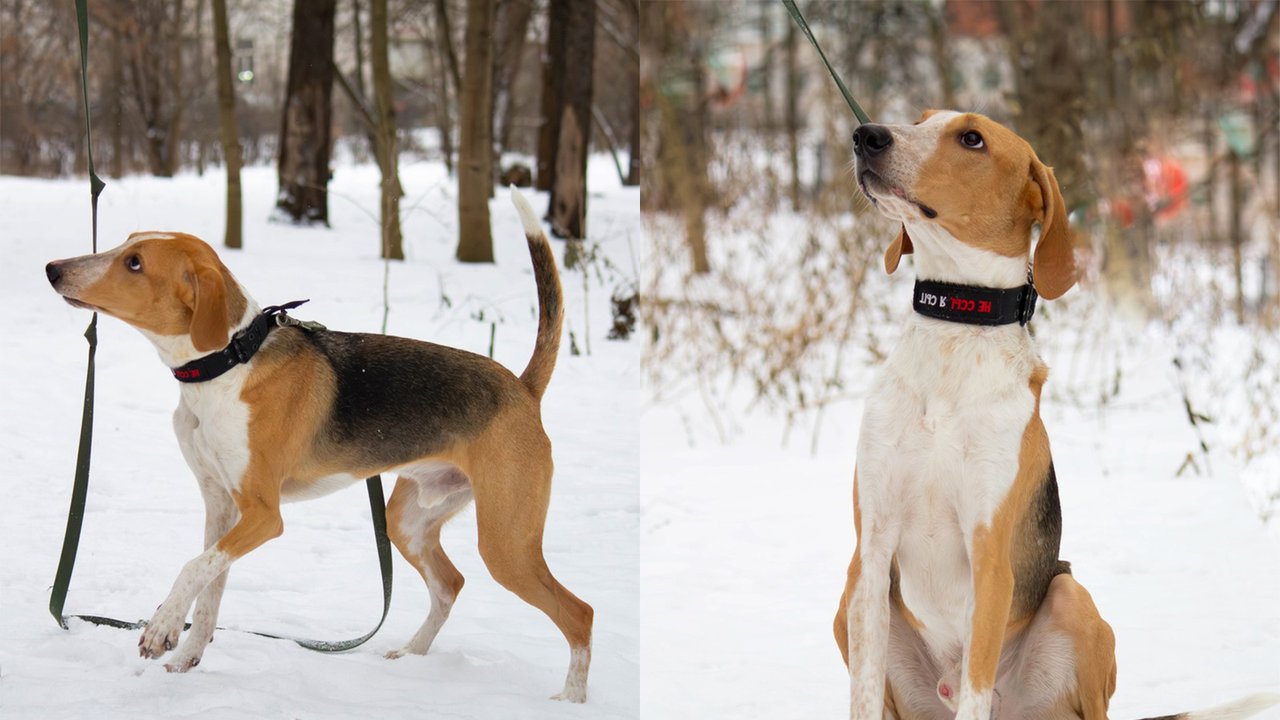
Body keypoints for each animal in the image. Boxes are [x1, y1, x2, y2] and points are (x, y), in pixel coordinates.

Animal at [45, 185, 593, 702]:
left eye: (134, 263)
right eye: (123, 244)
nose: (52, 268)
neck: (229, 363)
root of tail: (521, 387)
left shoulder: (263, 515)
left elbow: (192, 568)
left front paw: (161, 626)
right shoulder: (221, 508)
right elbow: (209, 590)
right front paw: (187, 659)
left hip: (506, 544)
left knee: (579, 613)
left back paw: (571, 697)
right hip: (408, 522)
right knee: (450, 585)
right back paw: (411, 655)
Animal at [834, 110, 1274, 717]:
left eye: (972, 138)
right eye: (919, 119)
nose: (867, 135)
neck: (956, 332)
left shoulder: (990, 560)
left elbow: (976, 687)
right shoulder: (871, 555)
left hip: (1072, 599)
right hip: (847, 609)